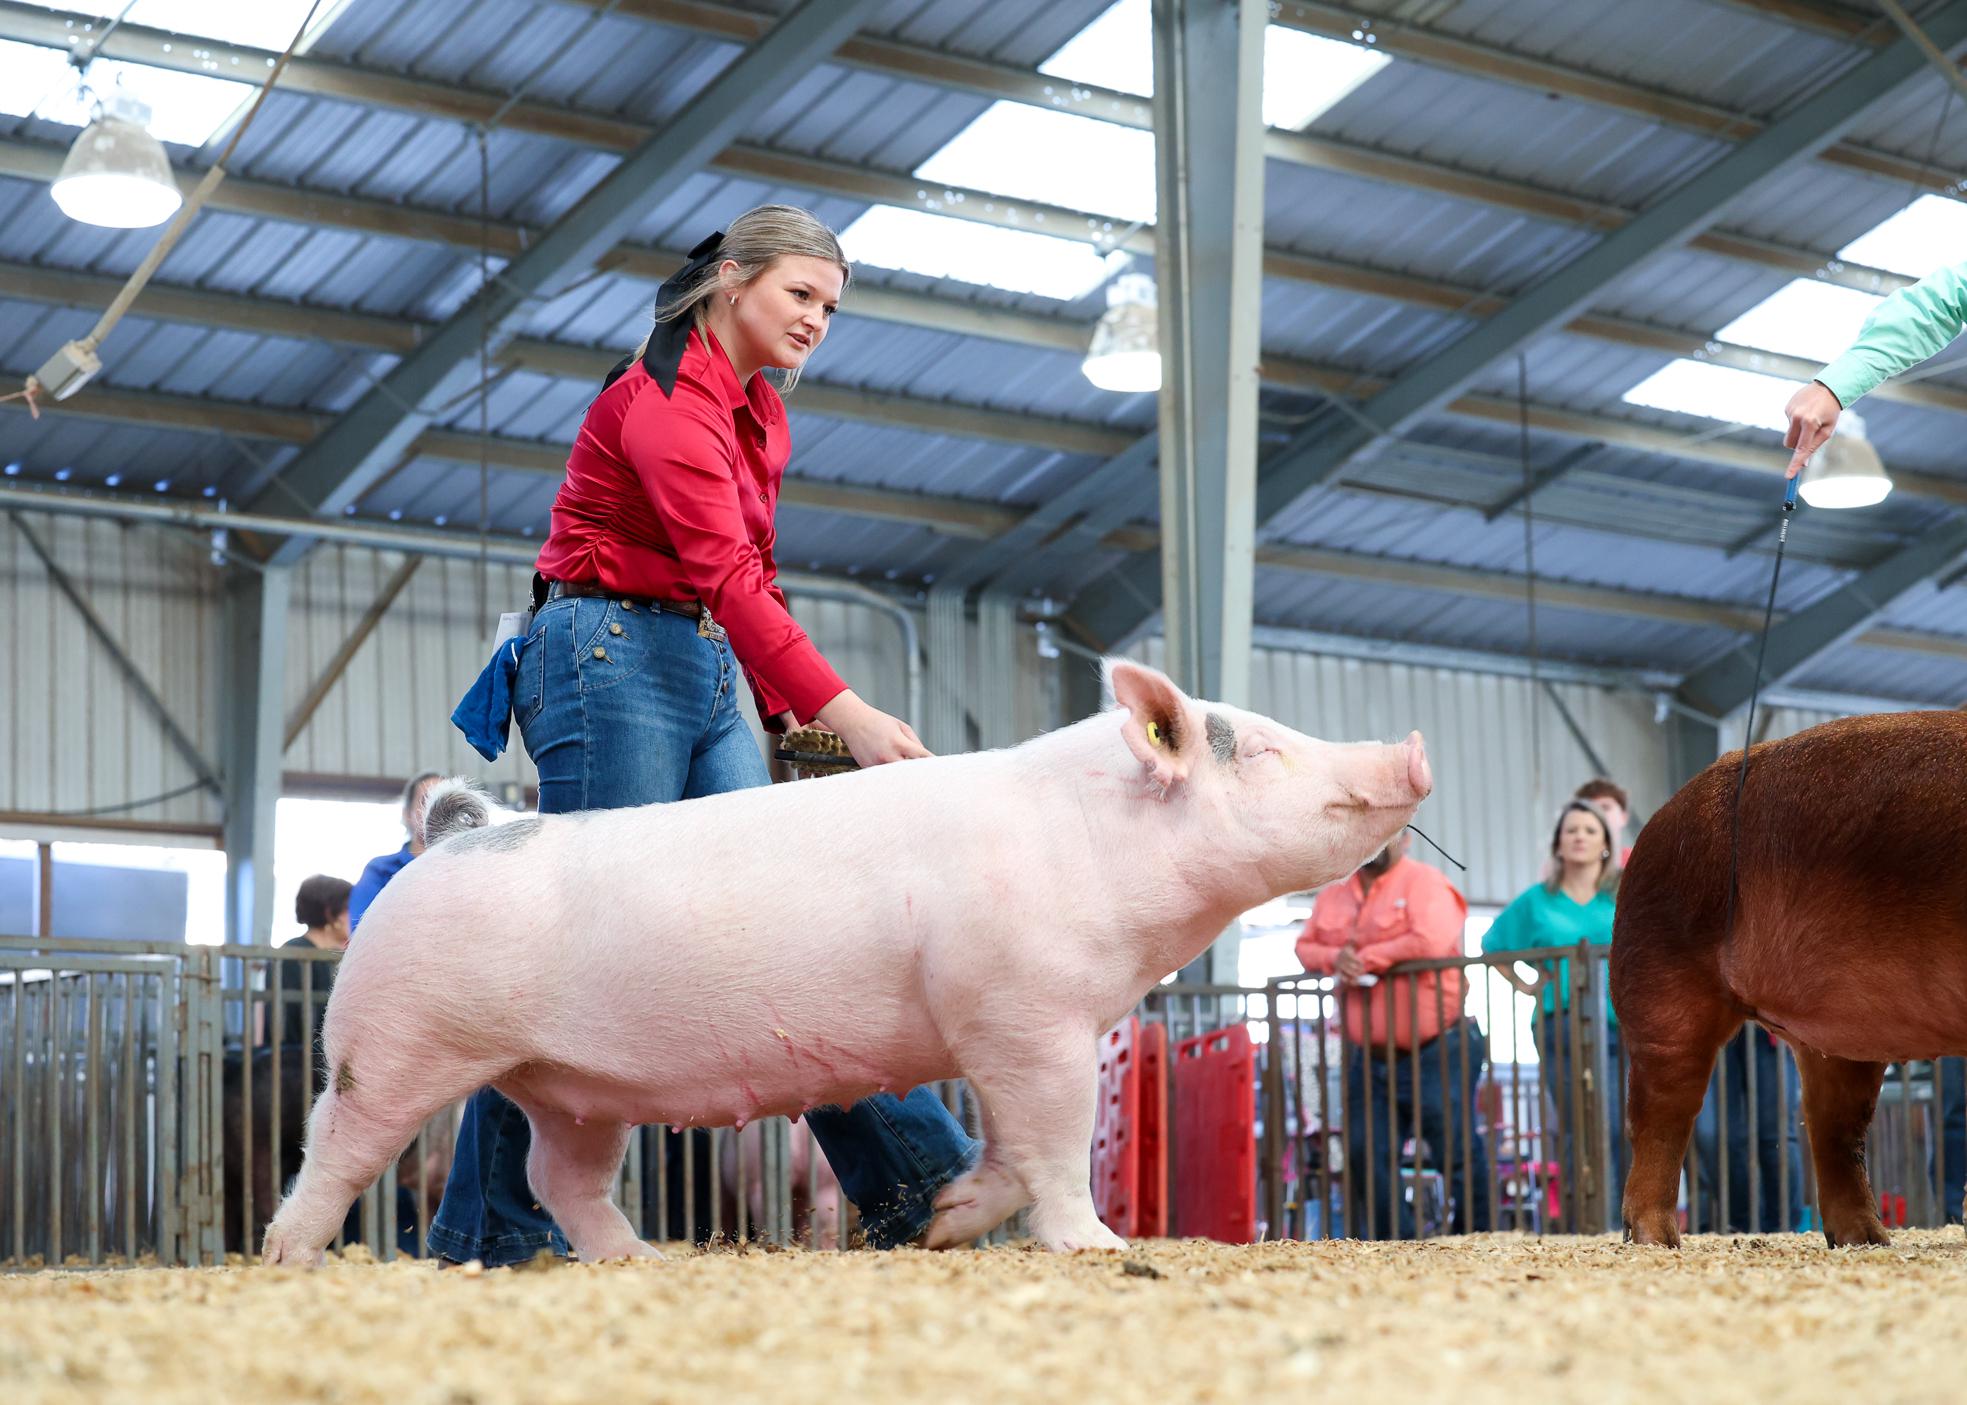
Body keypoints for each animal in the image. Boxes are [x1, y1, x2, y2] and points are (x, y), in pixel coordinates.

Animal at [261, 657, 1431, 1259]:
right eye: (1265, 748)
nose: (1411, 749)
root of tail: (458, 833)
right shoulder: (1026, 1013)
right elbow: (1052, 1149)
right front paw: (1097, 1247)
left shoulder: (1002, 1023)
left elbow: (1008, 1148)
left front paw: (945, 1224)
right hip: (394, 1042)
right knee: (336, 1145)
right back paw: (290, 1257)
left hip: (566, 1084)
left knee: (560, 1175)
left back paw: (641, 1260)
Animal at [1612, 704, 1967, 1243]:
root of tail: (1659, 819)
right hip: (1663, 977)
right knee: (1662, 1115)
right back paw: (1658, 1241)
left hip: (1841, 1037)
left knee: (1835, 1128)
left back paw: (1868, 1240)